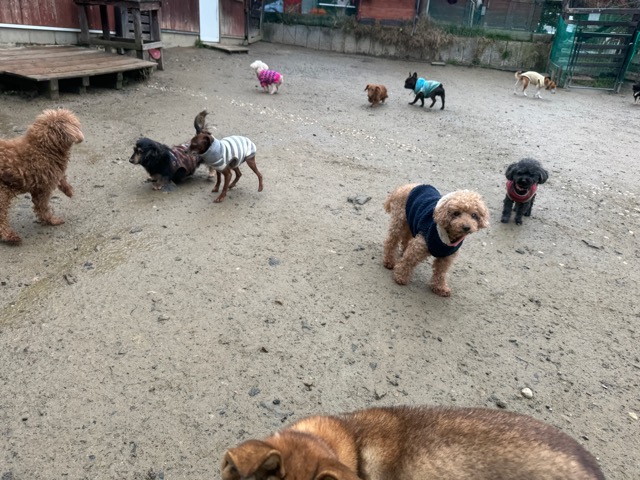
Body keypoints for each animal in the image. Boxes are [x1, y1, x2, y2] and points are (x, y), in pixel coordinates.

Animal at [0, 109, 84, 245]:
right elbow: (42, 208)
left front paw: (68, 190)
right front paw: (52, 220)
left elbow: (62, 177)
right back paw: (10, 236)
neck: (43, 149)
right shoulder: (43, 188)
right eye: (75, 123)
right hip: (3, 193)